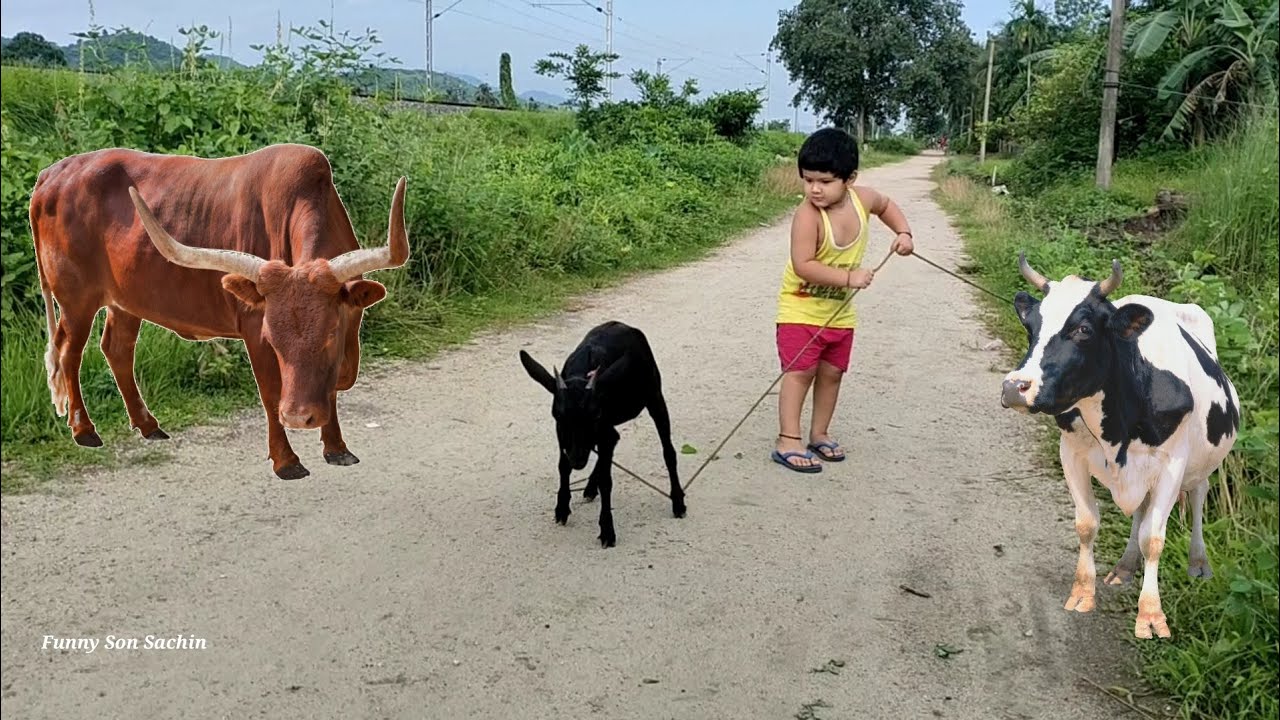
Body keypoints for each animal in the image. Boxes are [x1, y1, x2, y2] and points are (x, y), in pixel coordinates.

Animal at [29, 143, 410, 480]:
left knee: (116, 349)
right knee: (69, 353)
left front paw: (336, 448)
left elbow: (329, 387)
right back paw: (84, 430)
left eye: (331, 333)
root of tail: (53, 172)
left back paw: (148, 425)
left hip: (126, 300)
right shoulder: (254, 327)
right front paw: (286, 461)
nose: (298, 417)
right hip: (75, 298)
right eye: (273, 338)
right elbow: (270, 392)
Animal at [518, 320, 687, 547]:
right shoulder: (563, 433)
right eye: (558, 415)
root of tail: (624, 325)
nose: (578, 459)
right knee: (614, 441)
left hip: (654, 395)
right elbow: (563, 466)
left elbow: (607, 482)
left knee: (668, 450)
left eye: (595, 414)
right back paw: (590, 486)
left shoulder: (602, 426)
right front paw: (561, 507)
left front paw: (607, 531)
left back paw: (677, 501)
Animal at [1000, 253, 1240, 639]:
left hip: (1202, 462)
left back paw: (1198, 562)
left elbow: (1153, 539)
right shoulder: (1071, 452)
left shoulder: (1172, 463)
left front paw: (1151, 616)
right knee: (1140, 510)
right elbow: (1087, 524)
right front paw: (1083, 593)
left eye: (1083, 329)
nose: (1014, 387)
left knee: (1199, 495)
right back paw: (1125, 567)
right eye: (1030, 326)